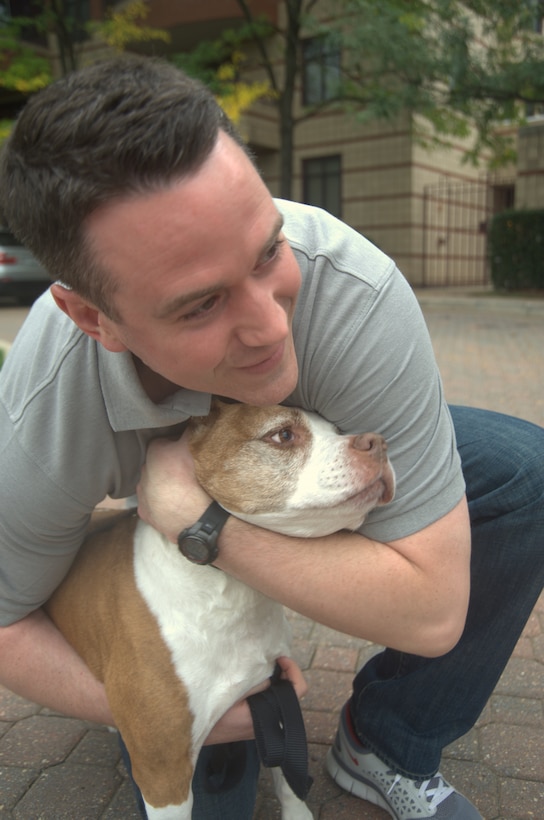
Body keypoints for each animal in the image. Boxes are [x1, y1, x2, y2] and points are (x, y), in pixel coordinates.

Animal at [44, 404, 394, 820]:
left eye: (337, 429)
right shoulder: (165, 775)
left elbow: (289, 781)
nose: (378, 442)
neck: (231, 593)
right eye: (283, 435)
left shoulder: (277, 701)